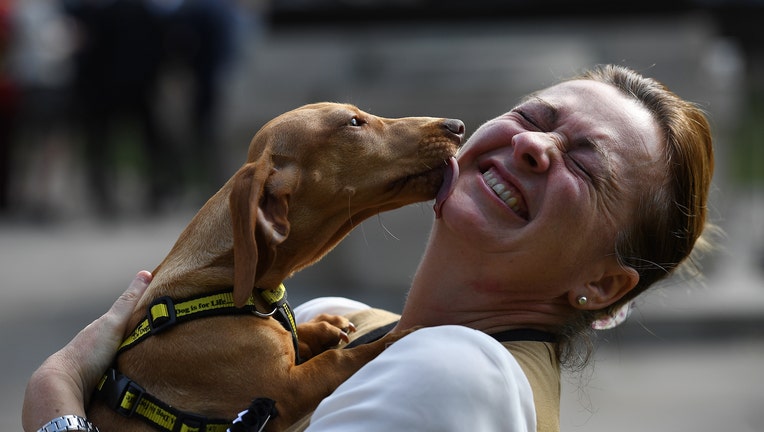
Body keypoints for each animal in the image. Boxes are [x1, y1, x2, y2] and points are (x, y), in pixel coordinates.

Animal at [86, 103, 462, 430]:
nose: (457, 126)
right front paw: (402, 336)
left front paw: (324, 327)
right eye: (353, 122)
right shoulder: (288, 390)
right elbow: (344, 358)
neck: (225, 282)